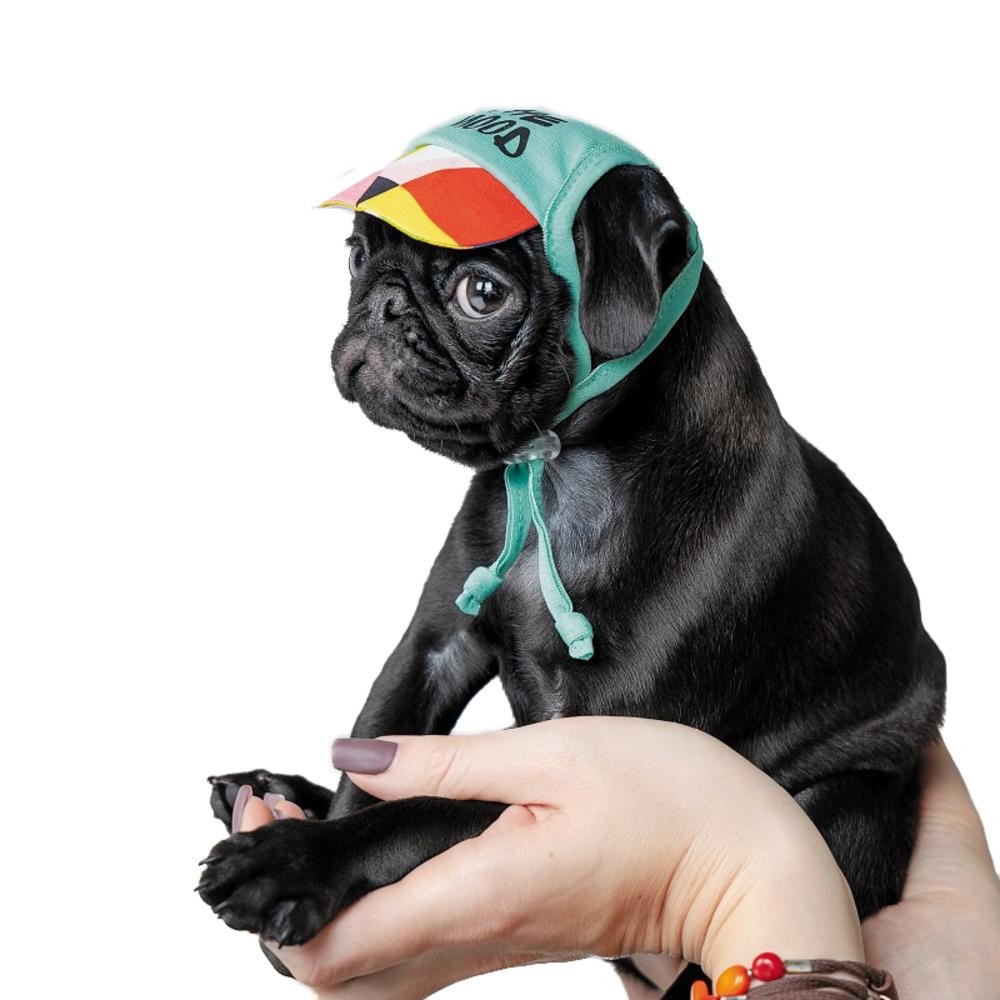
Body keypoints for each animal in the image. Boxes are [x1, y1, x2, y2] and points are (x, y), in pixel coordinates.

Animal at [198, 159, 946, 991]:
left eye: (483, 293)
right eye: (357, 255)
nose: (383, 301)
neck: (561, 475)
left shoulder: (581, 762)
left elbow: (419, 808)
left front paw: (300, 864)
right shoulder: (434, 647)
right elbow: (373, 756)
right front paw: (317, 837)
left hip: (846, 809)